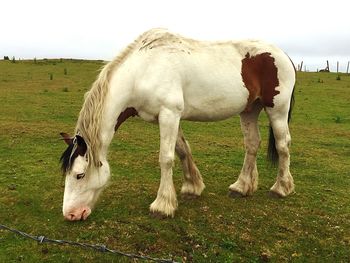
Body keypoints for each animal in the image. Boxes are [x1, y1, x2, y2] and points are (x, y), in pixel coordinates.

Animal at [60, 28, 296, 222]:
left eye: (79, 175)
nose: (70, 214)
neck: (144, 70)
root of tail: (283, 54)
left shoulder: (169, 114)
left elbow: (165, 159)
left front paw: (162, 205)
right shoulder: (168, 117)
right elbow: (182, 150)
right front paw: (193, 186)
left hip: (277, 110)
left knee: (283, 145)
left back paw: (281, 188)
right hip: (249, 110)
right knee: (252, 144)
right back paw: (241, 187)